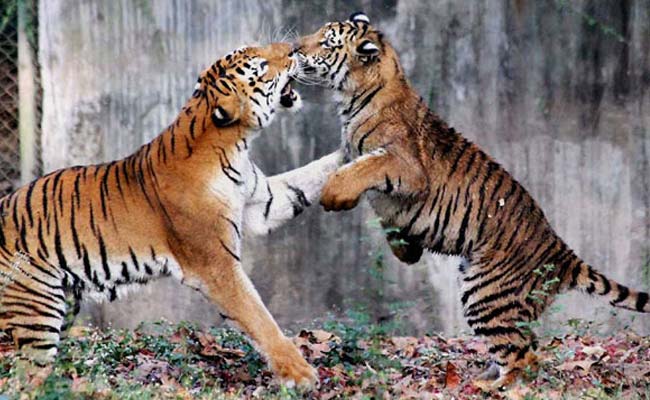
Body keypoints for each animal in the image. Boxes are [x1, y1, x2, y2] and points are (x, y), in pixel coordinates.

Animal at [0, 42, 340, 387]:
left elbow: (310, 175)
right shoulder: (216, 266)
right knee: (24, 379)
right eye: (261, 66)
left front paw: (353, 154)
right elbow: (259, 318)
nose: (294, 49)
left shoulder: (262, 202)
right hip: (37, 314)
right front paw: (300, 374)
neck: (236, 144)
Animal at [295, 12, 650, 387]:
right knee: (524, 346)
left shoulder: (403, 164)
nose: (294, 48)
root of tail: (560, 251)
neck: (353, 97)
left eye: (326, 42)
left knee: (524, 358)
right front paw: (406, 251)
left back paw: (490, 387)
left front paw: (335, 197)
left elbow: (357, 171)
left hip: (486, 295)